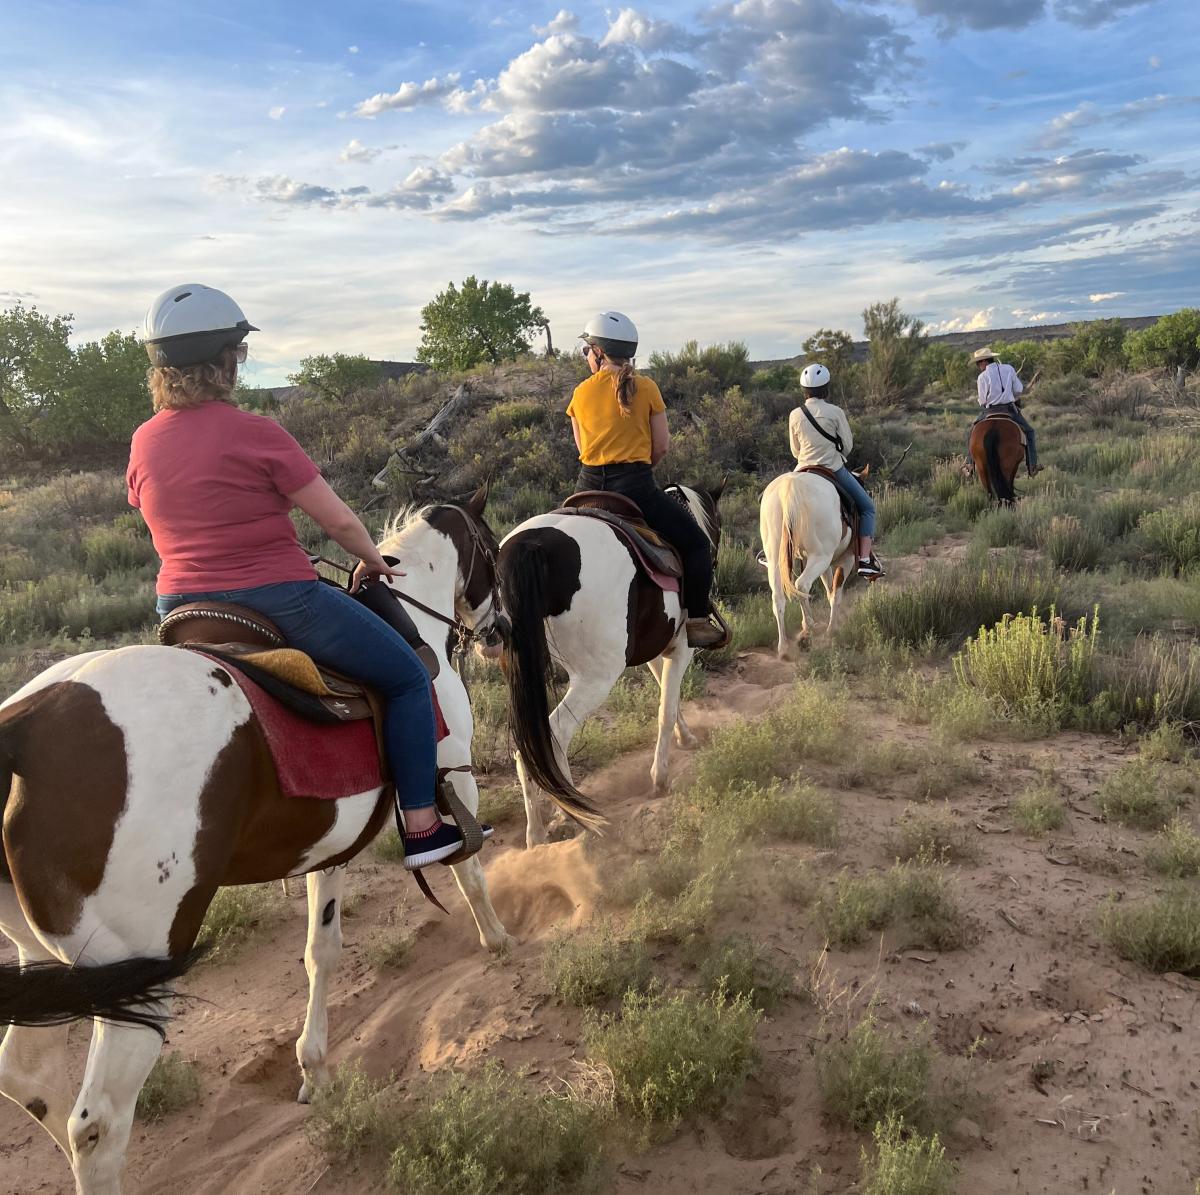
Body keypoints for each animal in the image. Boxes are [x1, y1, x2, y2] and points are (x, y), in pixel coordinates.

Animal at [0, 489, 527, 1195]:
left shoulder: (329, 847)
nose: (500, 629)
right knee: (97, 1125)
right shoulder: (454, 772)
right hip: (135, 972)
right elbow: (468, 866)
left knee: (28, 1081)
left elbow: (321, 951)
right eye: (492, 549)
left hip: (44, 959)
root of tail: (22, 729)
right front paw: (497, 939)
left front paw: (315, 1070)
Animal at [497, 483, 724, 846]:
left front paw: (686, 737)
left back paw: (541, 831)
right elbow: (666, 707)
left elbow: (668, 695)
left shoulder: (656, 650)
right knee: (555, 735)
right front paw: (660, 778)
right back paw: (570, 814)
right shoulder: (681, 648)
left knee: (531, 747)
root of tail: (531, 546)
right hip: (594, 679)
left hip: (523, 672)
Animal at [759, 468, 860, 658]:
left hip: (776, 558)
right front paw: (832, 629)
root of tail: (790, 488)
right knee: (802, 585)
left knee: (779, 597)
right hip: (820, 557)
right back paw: (808, 631)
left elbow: (829, 590)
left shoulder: (821, 564)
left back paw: (784, 647)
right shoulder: (846, 559)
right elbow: (835, 593)